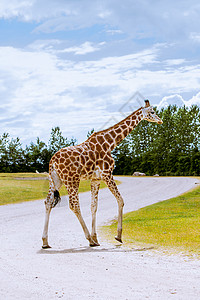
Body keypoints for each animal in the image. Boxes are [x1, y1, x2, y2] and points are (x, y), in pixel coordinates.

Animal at [41, 100, 162, 248]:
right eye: (152, 112)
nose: (160, 120)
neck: (110, 144)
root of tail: (52, 161)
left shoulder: (96, 179)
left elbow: (94, 206)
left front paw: (97, 238)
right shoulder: (107, 173)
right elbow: (120, 200)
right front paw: (118, 236)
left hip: (56, 180)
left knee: (48, 202)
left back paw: (45, 242)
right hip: (72, 179)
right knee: (74, 205)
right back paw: (89, 240)